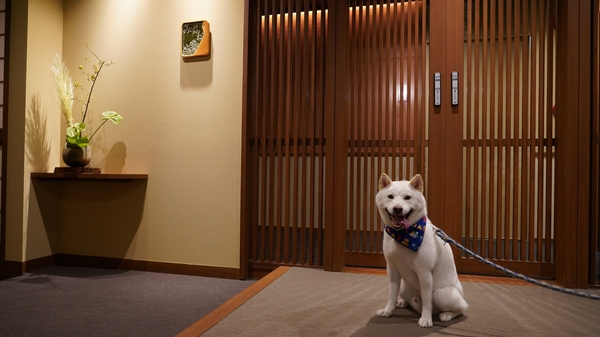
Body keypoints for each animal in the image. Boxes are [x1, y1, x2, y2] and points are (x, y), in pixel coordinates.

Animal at [376, 175, 468, 326]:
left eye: (407, 197)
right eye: (390, 196)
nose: (397, 208)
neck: (404, 235)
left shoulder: (424, 273)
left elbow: (426, 301)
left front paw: (426, 318)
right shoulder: (392, 269)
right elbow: (392, 294)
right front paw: (388, 310)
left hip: (442, 294)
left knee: (460, 309)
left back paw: (447, 315)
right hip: (404, 287)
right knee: (409, 299)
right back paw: (403, 303)